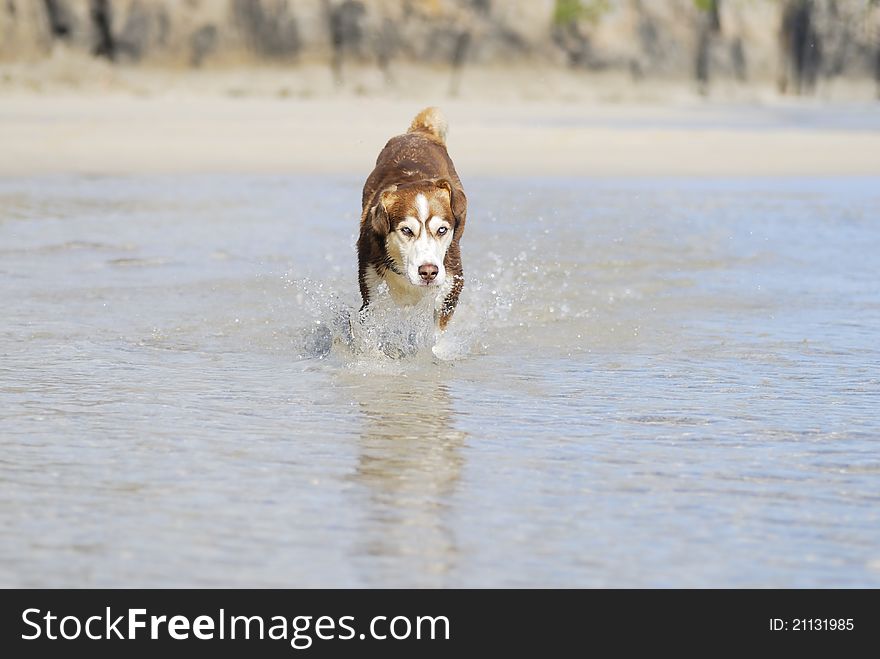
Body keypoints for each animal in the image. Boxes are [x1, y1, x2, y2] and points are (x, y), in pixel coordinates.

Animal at [358, 109, 468, 336]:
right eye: (407, 230)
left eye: (442, 229)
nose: (428, 272)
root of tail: (418, 133)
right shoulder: (371, 292)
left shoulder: (450, 288)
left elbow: (437, 337)